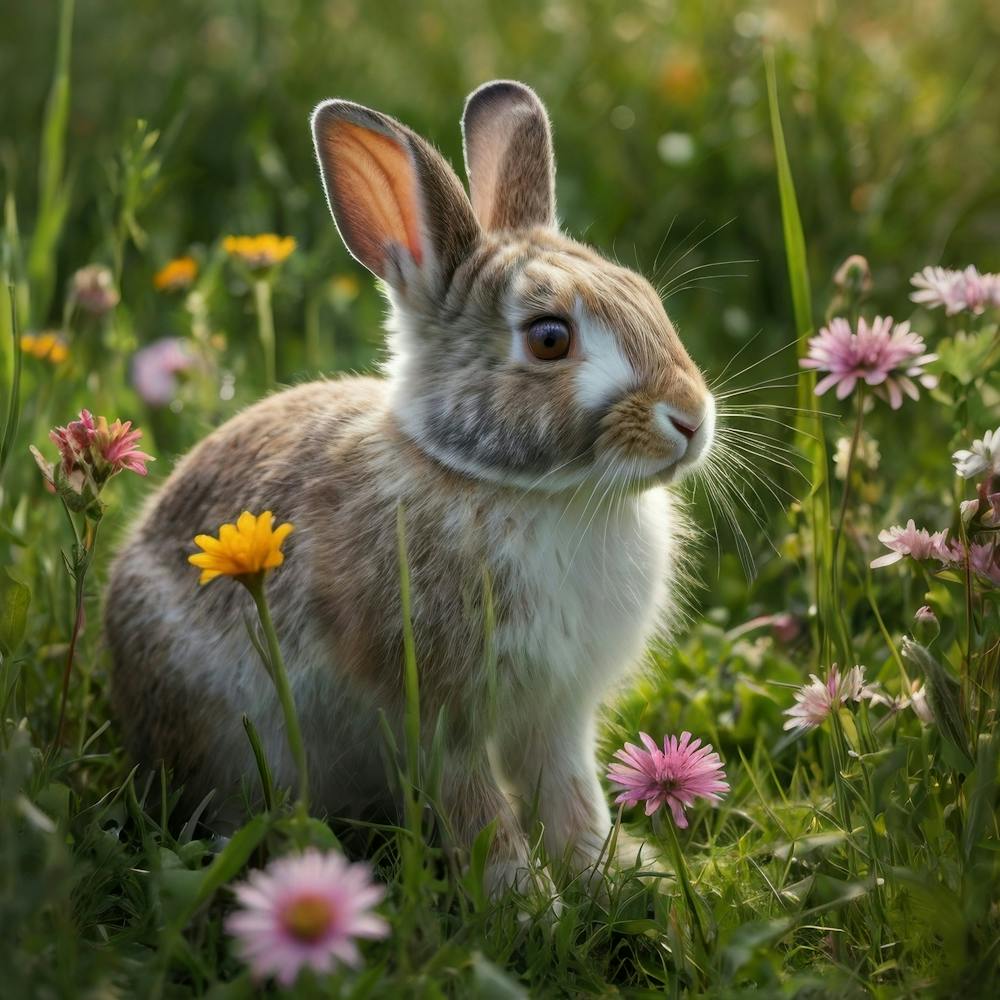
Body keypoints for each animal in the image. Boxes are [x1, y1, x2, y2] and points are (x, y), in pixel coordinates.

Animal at [104, 80, 715, 896]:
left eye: (647, 297)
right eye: (550, 339)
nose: (691, 418)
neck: (520, 487)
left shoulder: (558, 713)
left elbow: (570, 794)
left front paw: (611, 875)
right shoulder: (439, 713)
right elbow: (479, 808)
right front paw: (528, 902)